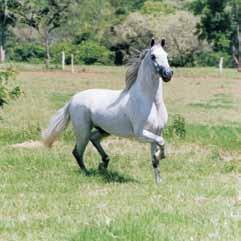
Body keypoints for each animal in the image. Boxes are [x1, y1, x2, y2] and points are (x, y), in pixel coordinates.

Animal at [42, 38, 173, 184]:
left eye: (167, 55)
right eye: (153, 56)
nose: (168, 74)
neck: (152, 103)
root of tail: (72, 100)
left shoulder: (156, 132)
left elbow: (155, 158)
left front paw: (159, 181)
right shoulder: (140, 134)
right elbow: (161, 142)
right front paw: (161, 157)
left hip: (104, 129)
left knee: (93, 138)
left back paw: (103, 163)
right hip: (83, 131)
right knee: (77, 151)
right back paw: (87, 172)